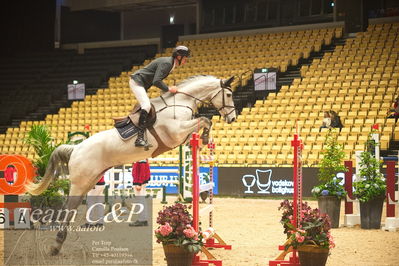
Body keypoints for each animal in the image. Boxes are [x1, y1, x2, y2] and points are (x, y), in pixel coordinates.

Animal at [25, 75, 238, 256]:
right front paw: (204, 137)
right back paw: (55, 244)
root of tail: (76, 148)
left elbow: (204, 121)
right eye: (228, 94)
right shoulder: (176, 133)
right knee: (69, 208)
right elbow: (205, 119)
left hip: (91, 179)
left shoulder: (182, 135)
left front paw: (204, 138)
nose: (233, 118)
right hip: (81, 181)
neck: (180, 103)